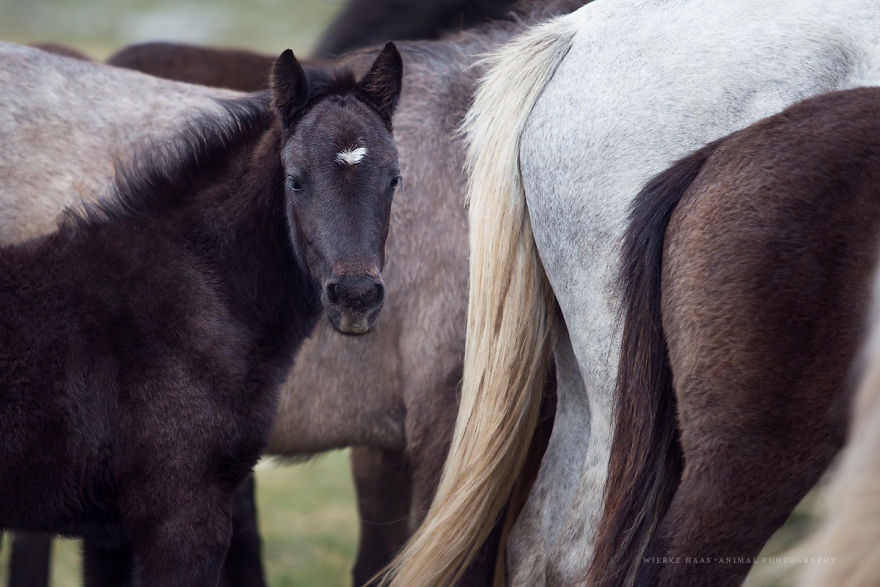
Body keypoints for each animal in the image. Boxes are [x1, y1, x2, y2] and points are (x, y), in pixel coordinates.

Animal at [0, 41, 403, 586]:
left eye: (394, 179)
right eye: (295, 181)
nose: (355, 297)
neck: (197, 292)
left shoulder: (109, 534)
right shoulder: (181, 514)